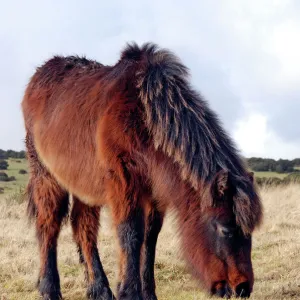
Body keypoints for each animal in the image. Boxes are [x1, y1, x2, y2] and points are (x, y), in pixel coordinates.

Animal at [21, 42, 262, 300]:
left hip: (83, 184)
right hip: (46, 177)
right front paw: (129, 291)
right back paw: (49, 288)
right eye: (226, 230)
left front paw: (147, 293)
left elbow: (149, 238)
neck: (143, 117)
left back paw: (100, 290)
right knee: (49, 225)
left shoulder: (154, 191)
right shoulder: (124, 181)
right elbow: (130, 234)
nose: (242, 288)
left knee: (84, 228)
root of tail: (39, 75)